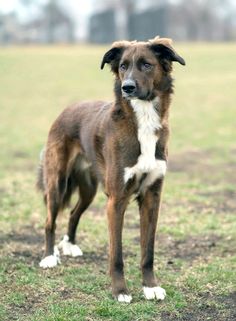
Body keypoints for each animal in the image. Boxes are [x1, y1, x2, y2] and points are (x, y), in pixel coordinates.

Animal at [37, 36, 184, 302]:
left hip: (89, 189)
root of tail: (68, 109)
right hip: (57, 181)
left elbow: (148, 251)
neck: (143, 119)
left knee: (73, 213)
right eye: (123, 66)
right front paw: (120, 291)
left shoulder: (152, 197)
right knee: (49, 221)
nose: (127, 87)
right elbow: (116, 254)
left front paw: (150, 286)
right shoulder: (116, 200)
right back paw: (49, 257)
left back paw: (70, 245)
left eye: (146, 64)